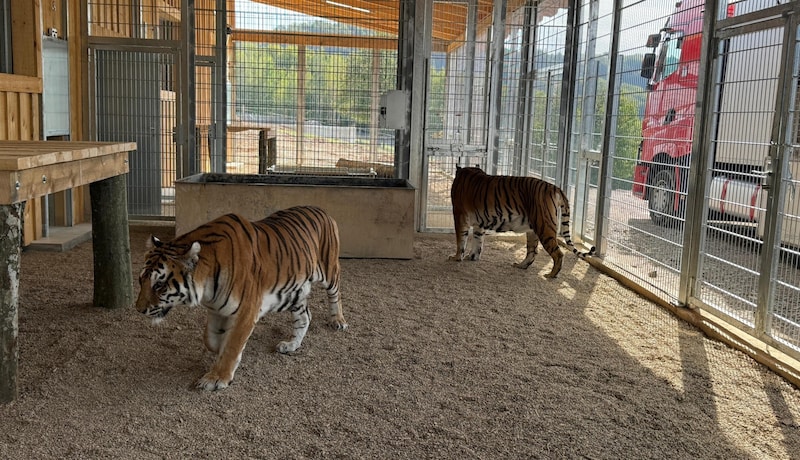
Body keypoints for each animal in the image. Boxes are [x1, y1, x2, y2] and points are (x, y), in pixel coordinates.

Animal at [134, 207, 346, 390]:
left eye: (159, 285)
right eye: (140, 280)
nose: (139, 309)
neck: (207, 286)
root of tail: (323, 211)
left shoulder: (246, 310)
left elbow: (232, 345)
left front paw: (216, 378)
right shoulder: (217, 308)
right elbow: (210, 338)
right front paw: (219, 346)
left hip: (329, 271)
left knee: (335, 294)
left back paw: (338, 320)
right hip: (295, 291)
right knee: (305, 317)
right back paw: (291, 345)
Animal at [450, 167, 592, 278]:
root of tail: (554, 187)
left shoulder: (459, 216)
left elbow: (460, 240)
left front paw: (456, 257)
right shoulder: (479, 224)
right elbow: (477, 240)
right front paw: (473, 257)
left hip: (545, 228)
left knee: (558, 254)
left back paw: (551, 275)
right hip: (533, 230)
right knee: (532, 252)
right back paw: (521, 265)